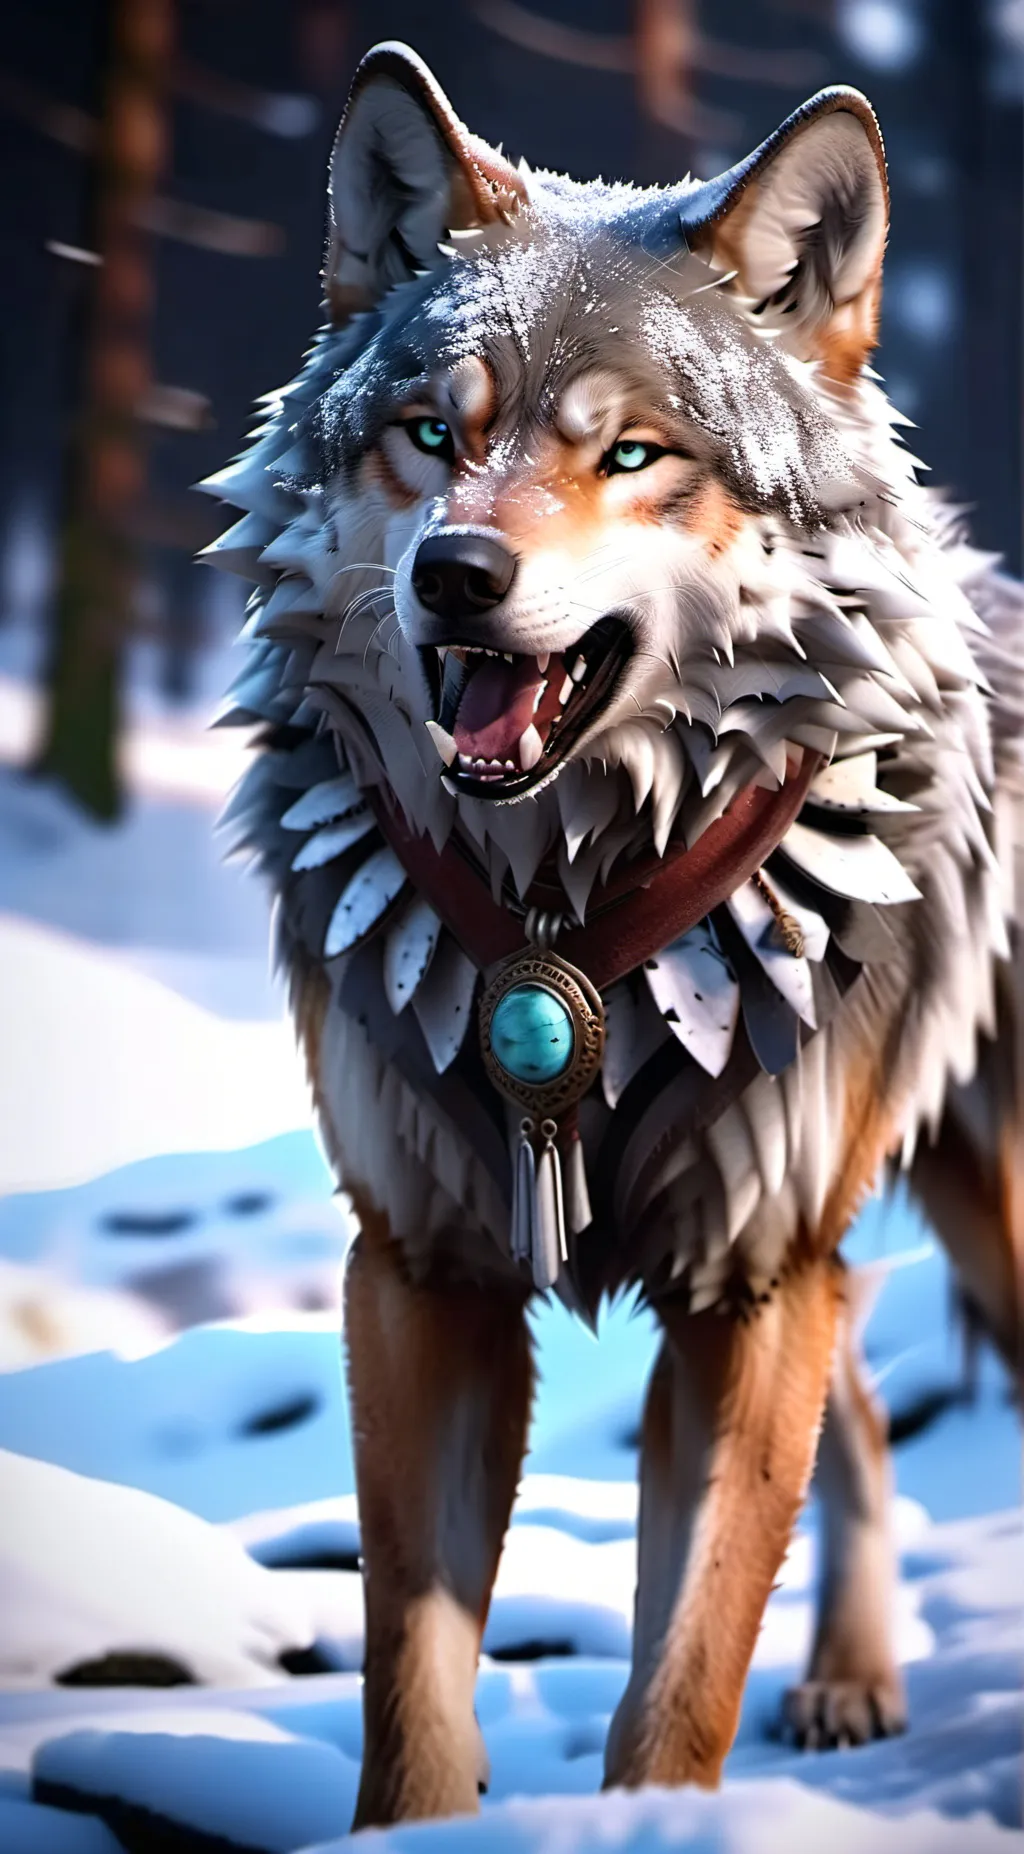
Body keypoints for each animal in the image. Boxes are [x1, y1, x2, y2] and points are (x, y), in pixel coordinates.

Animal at [206, 43, 1022, 1827]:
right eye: (431, 433)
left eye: (634, 456)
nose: (457, 571)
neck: (565, 912)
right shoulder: (424, 1270)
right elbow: (412, 1675)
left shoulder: (750, 1282)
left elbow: (688, 1659)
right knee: (866, 1418)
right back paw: (850, 1679)